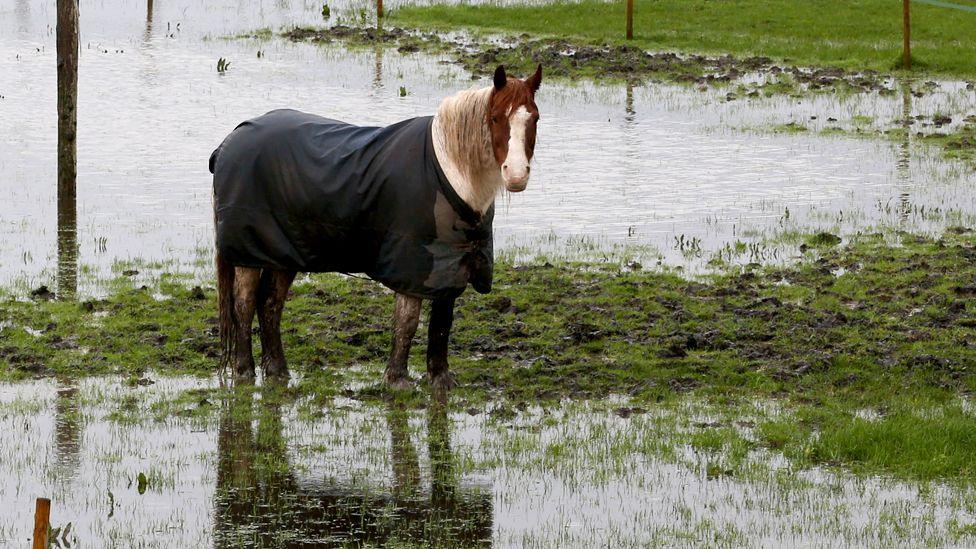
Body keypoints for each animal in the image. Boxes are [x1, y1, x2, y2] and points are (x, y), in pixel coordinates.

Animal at [210, 65, 540, 390]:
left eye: (534, 117)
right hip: (249, 252)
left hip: (282, 253)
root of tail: (232, 139)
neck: (449, 173)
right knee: (244, 303)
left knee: (270, 303)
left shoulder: (450, 266)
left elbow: (442, 324)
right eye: (495, 118)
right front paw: (397, 380)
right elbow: (407, 322)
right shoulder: (413, 266)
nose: (516, 175)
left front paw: (440, 379)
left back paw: (278, 371)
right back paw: (244, 371)